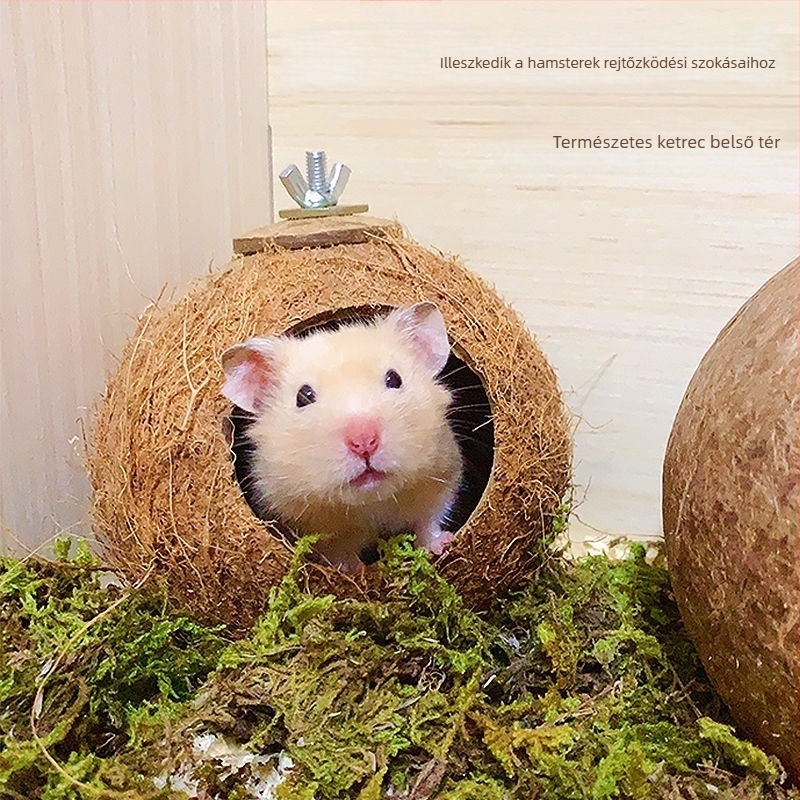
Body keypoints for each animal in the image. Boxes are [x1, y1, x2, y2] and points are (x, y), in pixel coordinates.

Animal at [220, 302, 463, 572]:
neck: (371, 503)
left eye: (394, 379)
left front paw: (441, 544)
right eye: (303, 396)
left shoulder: (443, 475)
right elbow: (337, 550)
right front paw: (354, 570)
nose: (364, 442)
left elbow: (428, 521)